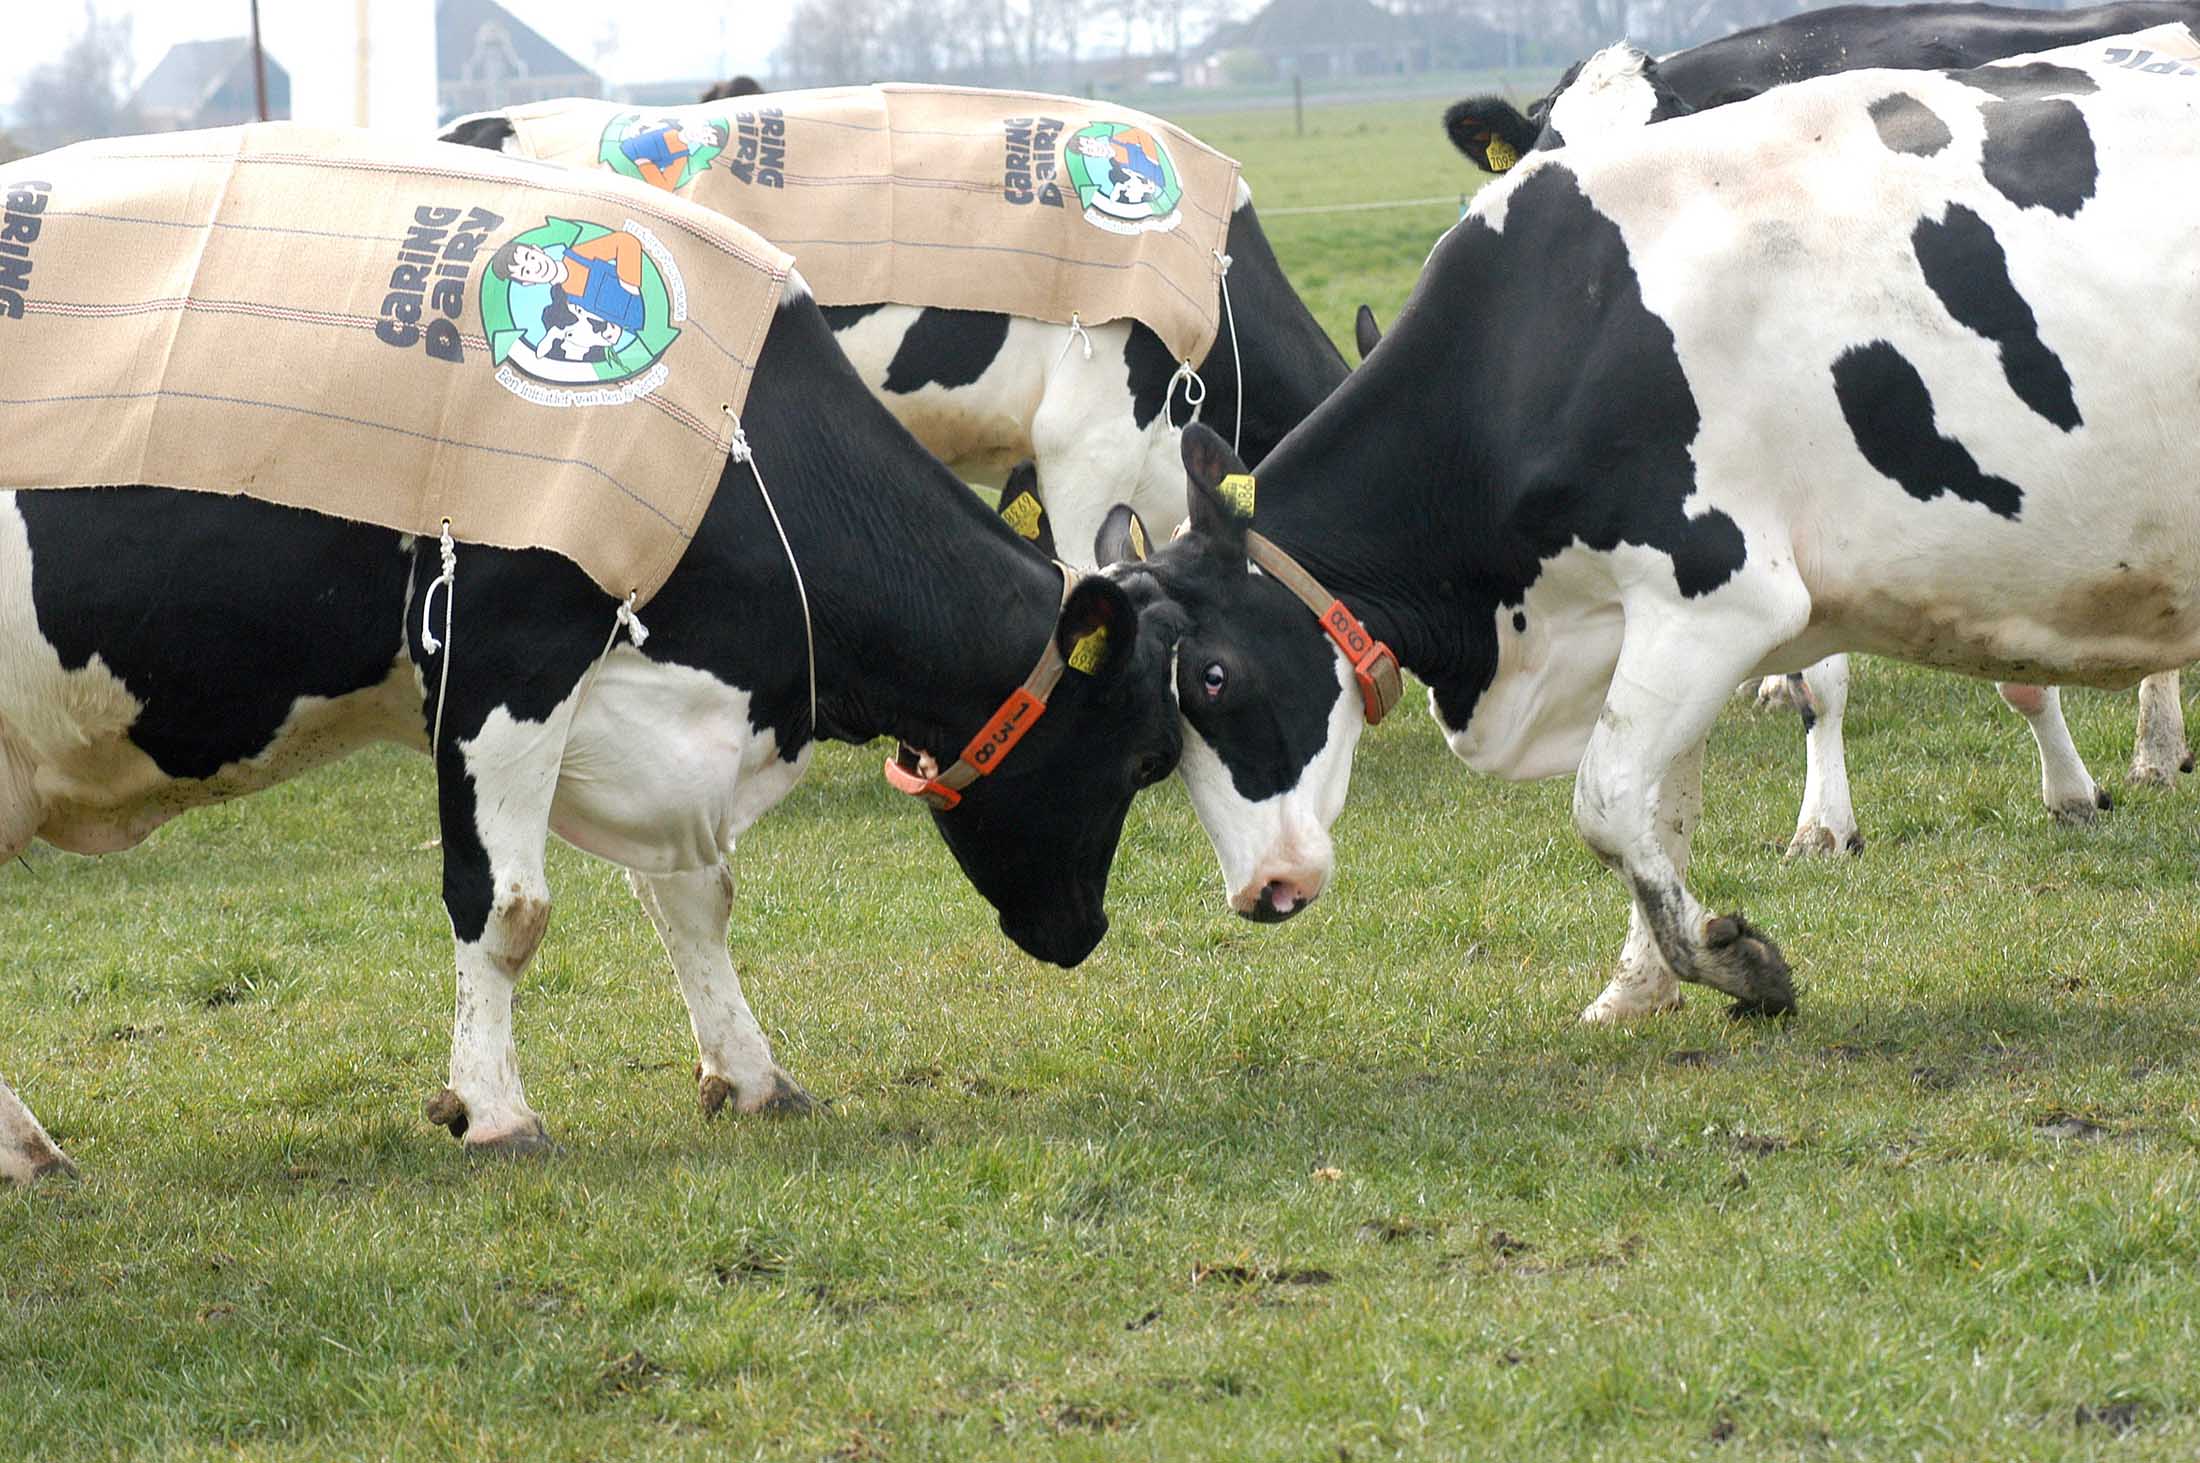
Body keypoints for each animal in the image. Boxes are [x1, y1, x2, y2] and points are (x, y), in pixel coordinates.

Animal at [0, 272, 1202, 1186]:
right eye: (1147, 758)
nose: (1085, 931)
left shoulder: (648, 718)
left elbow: (694, 898)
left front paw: (751, 1074)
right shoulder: (500, 656)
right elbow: (506, 908)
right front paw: (495, 1112)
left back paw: (28, 1150)